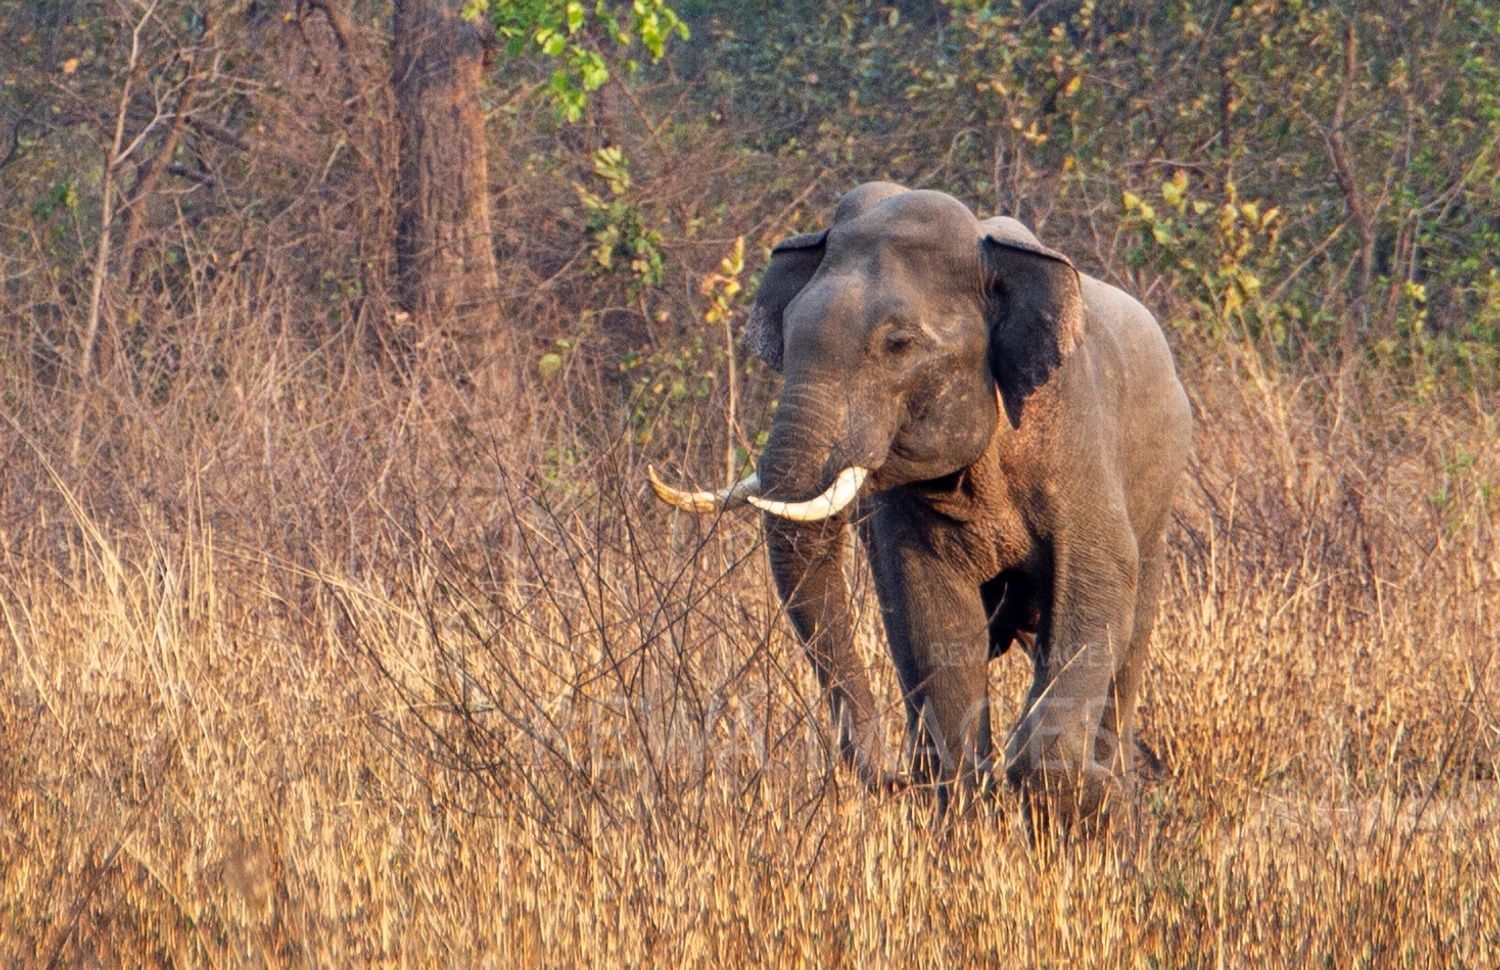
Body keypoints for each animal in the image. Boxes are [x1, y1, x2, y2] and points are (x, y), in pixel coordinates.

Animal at [648, 182, 1191, 829]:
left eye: (898, 345)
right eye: (788, 331)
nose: (889, 778)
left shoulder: (1076, 432)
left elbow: (1096, 586)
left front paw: (1081, 798)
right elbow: (929, 609)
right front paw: (967, 807)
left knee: (1127, 638)